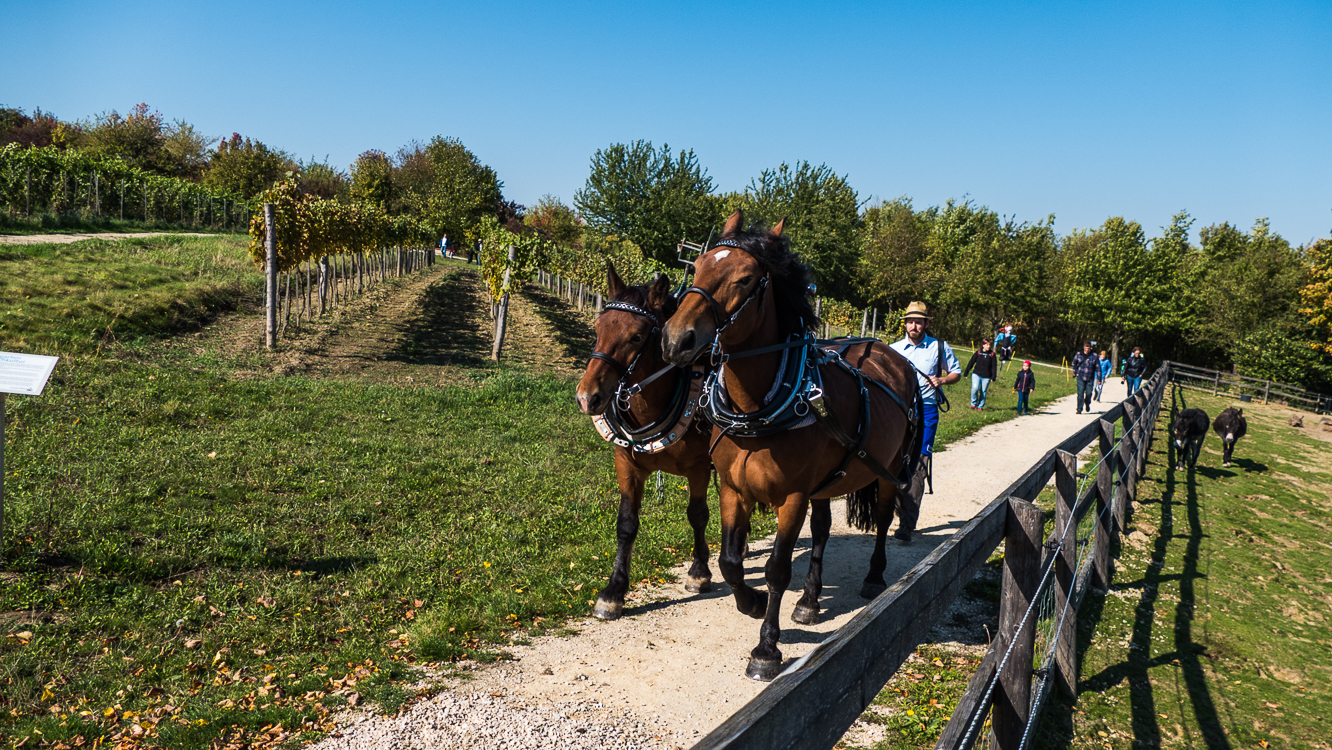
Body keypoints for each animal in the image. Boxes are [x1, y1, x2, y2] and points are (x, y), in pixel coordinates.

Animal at [575, 266, 719, 618]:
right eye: (597, 329)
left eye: (637, 337)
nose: (587, 397)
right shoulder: (627, 464)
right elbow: (626, 524)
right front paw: (614, 591)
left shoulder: (699, 468)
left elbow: (698, 514)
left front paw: (699, 572)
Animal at [660, 210, 921, 682]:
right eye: (699, 265)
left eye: (745, 279)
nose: (675, 340)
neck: (757, 408)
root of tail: (890, 353)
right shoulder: (733, 488)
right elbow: (730, 561)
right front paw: (752, 602)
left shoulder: (793, 496)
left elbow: (778, 569)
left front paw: (766, 648)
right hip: (828, 480)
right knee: (821, 530)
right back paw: (810, 601)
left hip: (888, 468)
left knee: (883, 516)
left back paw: (874, 578)